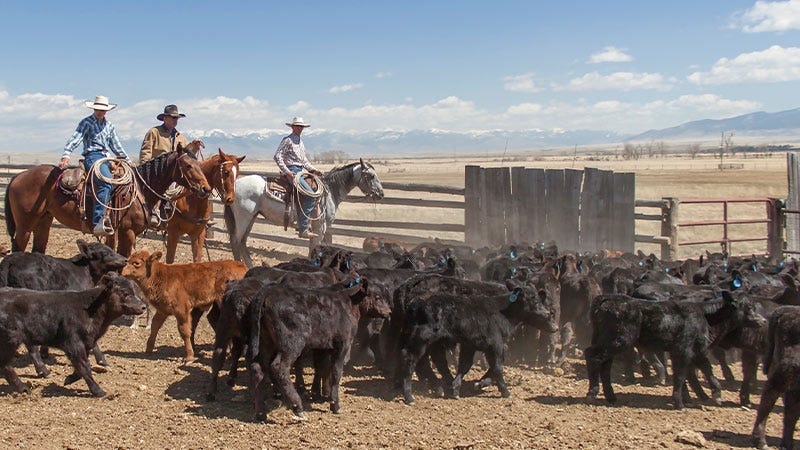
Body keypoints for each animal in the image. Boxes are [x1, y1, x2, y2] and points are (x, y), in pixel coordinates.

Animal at [0, 270, 145, 398]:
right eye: (125, 293)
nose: (143, 306)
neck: (90, 310)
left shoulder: (86, 343)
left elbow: (80, 367)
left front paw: (69, 379)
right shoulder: (74, 343)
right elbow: (85, 367)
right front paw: (99, 391)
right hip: (9, 341)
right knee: (5, 365)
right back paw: (23, 388)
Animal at [4, 149, 211, 256]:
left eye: (199, 165)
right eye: (187, 165)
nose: (205, 189)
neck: (140, 190)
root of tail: (17, 177)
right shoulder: (127, 232)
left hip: (43, 221)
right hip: (24, 226)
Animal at [222, 159, 384, 268]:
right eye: (371, 176)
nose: (381, 194)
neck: (330, 191)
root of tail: (235, 186)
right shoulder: (319, 228)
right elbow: (315, 249)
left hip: (252, 217)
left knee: (242, 242)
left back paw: (249, 266)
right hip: (243, 218)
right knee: (236, 241)